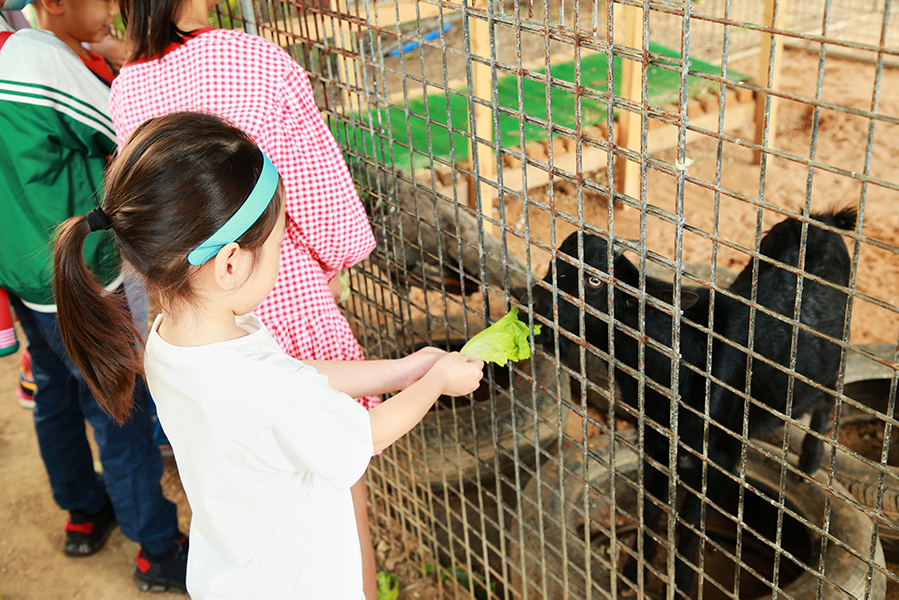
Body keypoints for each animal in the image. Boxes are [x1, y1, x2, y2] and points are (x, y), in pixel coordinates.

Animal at [536, 206, 856, 596]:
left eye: (595, 281)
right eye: (552, 264)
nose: (532, 307)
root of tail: (826, 220)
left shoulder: (720, 456)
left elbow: (690, 523)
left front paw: (681, 585)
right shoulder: (653, 441)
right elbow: (650, 508)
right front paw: (633, 574)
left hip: (835, 355)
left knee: (828, 397)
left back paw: (808, 463)